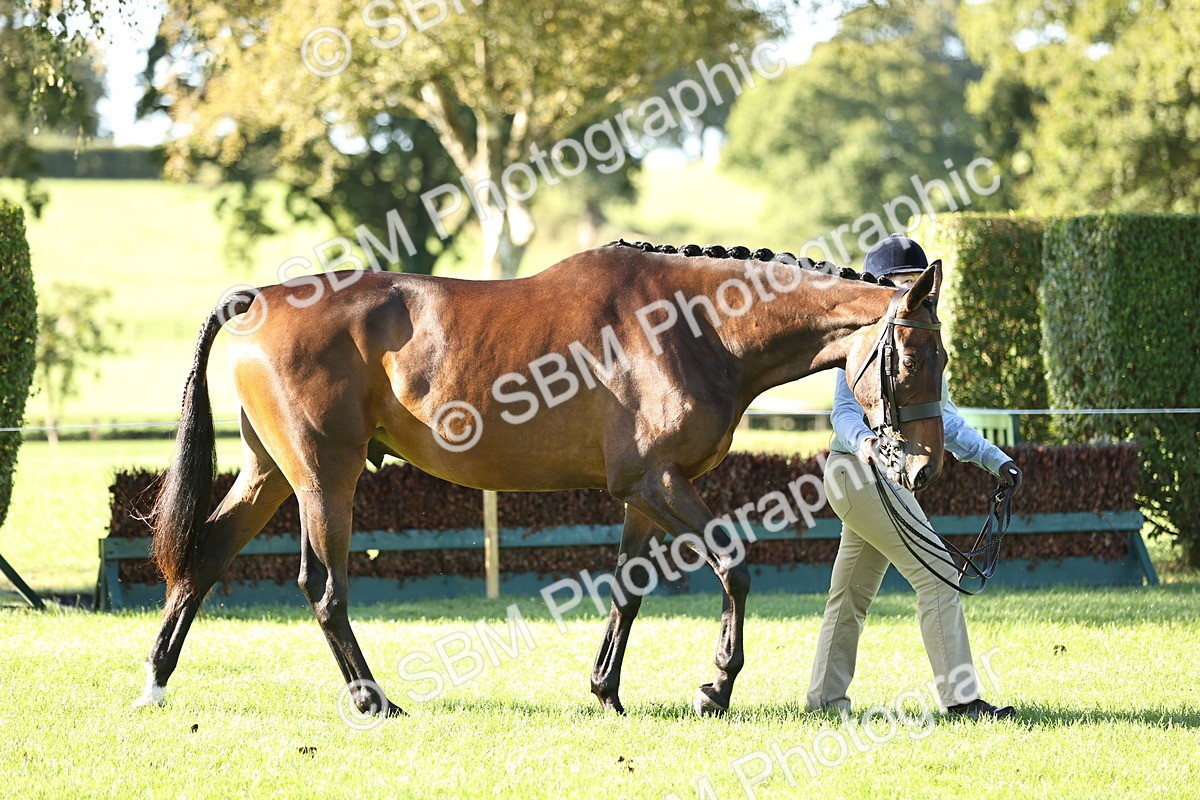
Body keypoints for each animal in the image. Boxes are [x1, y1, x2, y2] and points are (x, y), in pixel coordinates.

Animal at [135, 240, 945, 718]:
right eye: (912, 358)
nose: (925, 466)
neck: (697, 325)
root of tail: (260, 300)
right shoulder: (659, 484)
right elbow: (734, 566)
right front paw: (714, 686)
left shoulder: (644, 495)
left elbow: (627, 588)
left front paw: (606, 691)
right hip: (322, 480)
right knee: (323, 588)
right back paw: (375, 702)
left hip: (269, 474)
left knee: (203, 560)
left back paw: (156, 683)